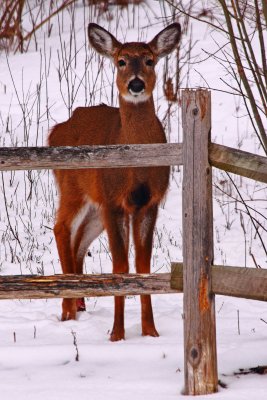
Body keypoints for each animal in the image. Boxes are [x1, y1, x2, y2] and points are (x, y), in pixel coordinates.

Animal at [49, 21, 181, 340]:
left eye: (150, 60)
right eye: (120, 61)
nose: (136, 84)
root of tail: (56, 130)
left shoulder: (148, 202)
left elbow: (143, 265)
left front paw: (150, 331)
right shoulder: (114, 201)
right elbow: (120, 265)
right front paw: (117, 334)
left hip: (95, 207)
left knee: (79, 239)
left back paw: (80, 304)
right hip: (72, 187)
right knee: (61, 228)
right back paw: (68, 310)